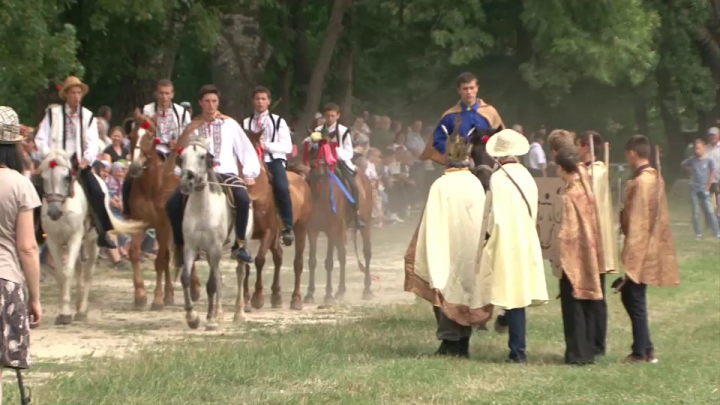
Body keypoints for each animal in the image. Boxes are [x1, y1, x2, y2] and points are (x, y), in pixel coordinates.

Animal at [39, 150, 148, 324]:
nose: (54, 212)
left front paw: (65, 314)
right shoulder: (53, 241)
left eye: (66, 177)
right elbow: (62, 274)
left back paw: (82, 310)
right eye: (43, 178)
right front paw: (63, 311)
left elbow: (68, 271)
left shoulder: (74, 238)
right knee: (79, 269)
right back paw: (78, 306)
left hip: (92, 243)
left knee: (88, 271)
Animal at [127, 115, 202, 310]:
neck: (151, 187)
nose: (135, 167)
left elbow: (161, 259)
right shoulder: (138, 222)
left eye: (150, 136)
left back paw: (194, 289)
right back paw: (170, 294)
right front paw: (140, 295)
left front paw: (157, 299)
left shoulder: (164, 226)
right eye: (131, 135)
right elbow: (135, 253)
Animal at [176, 137, 252, 330]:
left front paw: (209, 320)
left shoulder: (214, 247)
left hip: (240, 245)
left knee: (240, 273)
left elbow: (210, 284)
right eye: (182, 157)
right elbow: (186, 278)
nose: (186, 183)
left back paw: (238, 314)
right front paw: (192, 317)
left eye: (202, 156)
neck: (202, 209)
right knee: (219, 276)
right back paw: (219, 314)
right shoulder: (191, 247)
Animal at [243, 129, 314, 310]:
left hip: (301, 229)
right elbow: (246, 263)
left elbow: (259, 260)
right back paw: (276, 296)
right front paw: (246, 299)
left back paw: (296, 299)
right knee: (279, 256)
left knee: (298, 262)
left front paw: (257, 297)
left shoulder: (269, 231)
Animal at [300, 133, 374, 304]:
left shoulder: (331, 229)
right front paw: (310, 294)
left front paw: (328, 295)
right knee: (342, 255)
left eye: (326, 151)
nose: (319, 174)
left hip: (364, 224)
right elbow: (312, 261)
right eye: (312, 150)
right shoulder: (312, 230)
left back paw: (367, 290)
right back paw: (341, 291)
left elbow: (329, 262)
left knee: (366, 253)